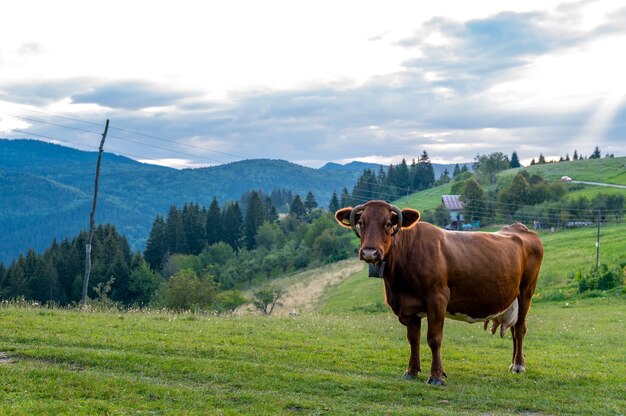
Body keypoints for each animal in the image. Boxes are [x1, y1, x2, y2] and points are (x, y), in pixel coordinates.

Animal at [334, 200, 544, 386]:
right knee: (515, 330)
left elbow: (434, 339)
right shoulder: (408, 307)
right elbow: (413, 340)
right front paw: (411, 371)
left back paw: (518, 365)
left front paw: (436, 376)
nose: (370, 252)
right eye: (361, 223)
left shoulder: (437, 300)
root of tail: (519, 228)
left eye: (388, 223)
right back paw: (514, 363)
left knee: (520, 328)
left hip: (526, 290)